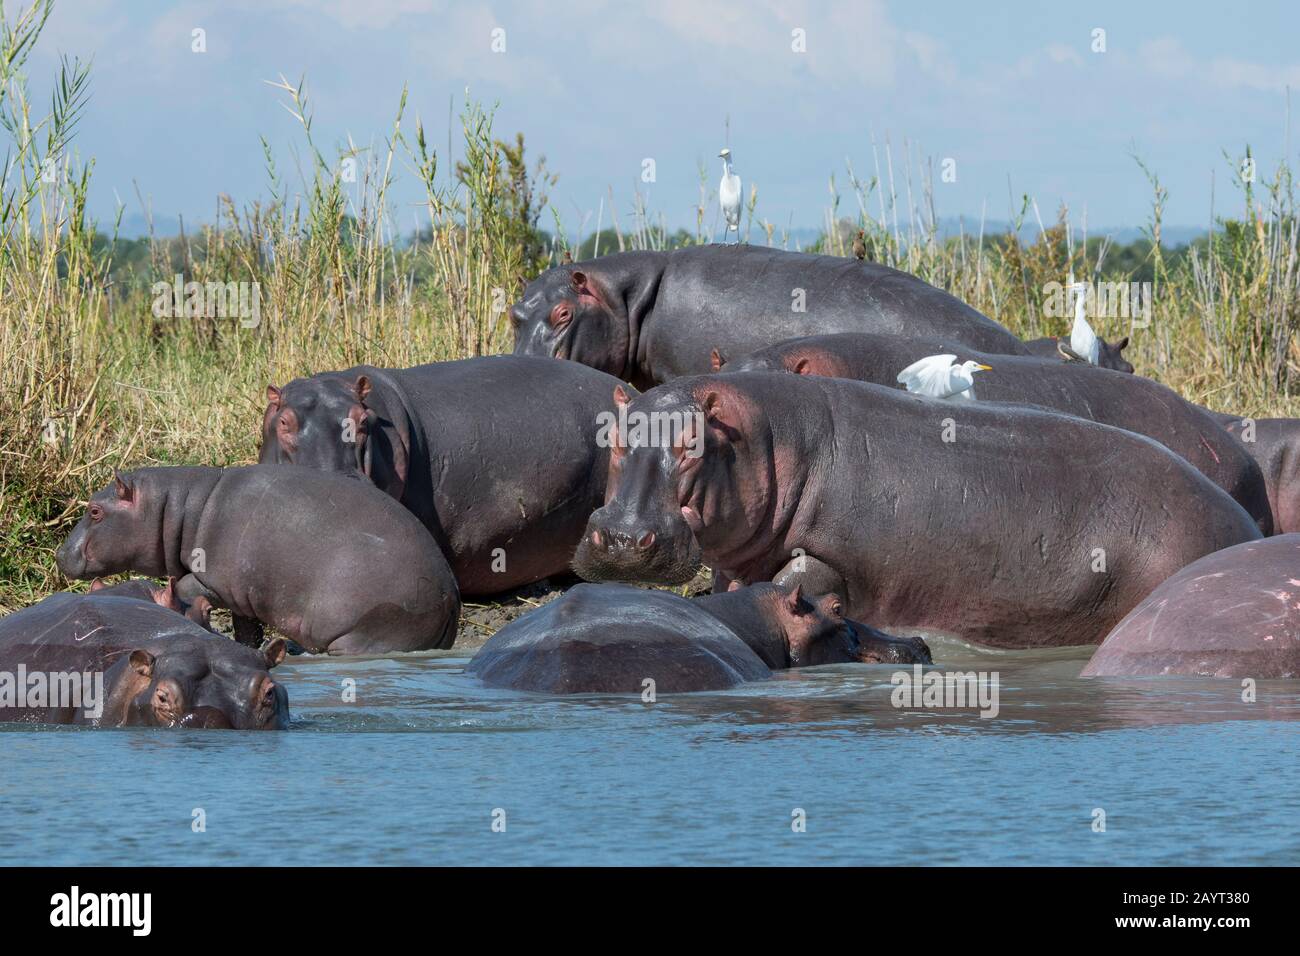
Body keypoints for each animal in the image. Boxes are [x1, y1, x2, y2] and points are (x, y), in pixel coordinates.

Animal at [55, 465, 459, 655]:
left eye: (94, 510)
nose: (59, 554)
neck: (180, 508)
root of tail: (450, 593)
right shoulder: (241, 595)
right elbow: (246, 627)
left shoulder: (212, 579)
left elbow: (183, 585)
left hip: (362, 633)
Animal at [573, 372, 1262, 649]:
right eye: (612, 433)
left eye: (693, 442)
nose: (625, 537)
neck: (766, 440)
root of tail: (1248, 525)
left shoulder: (830, 561)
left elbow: (803, 580)